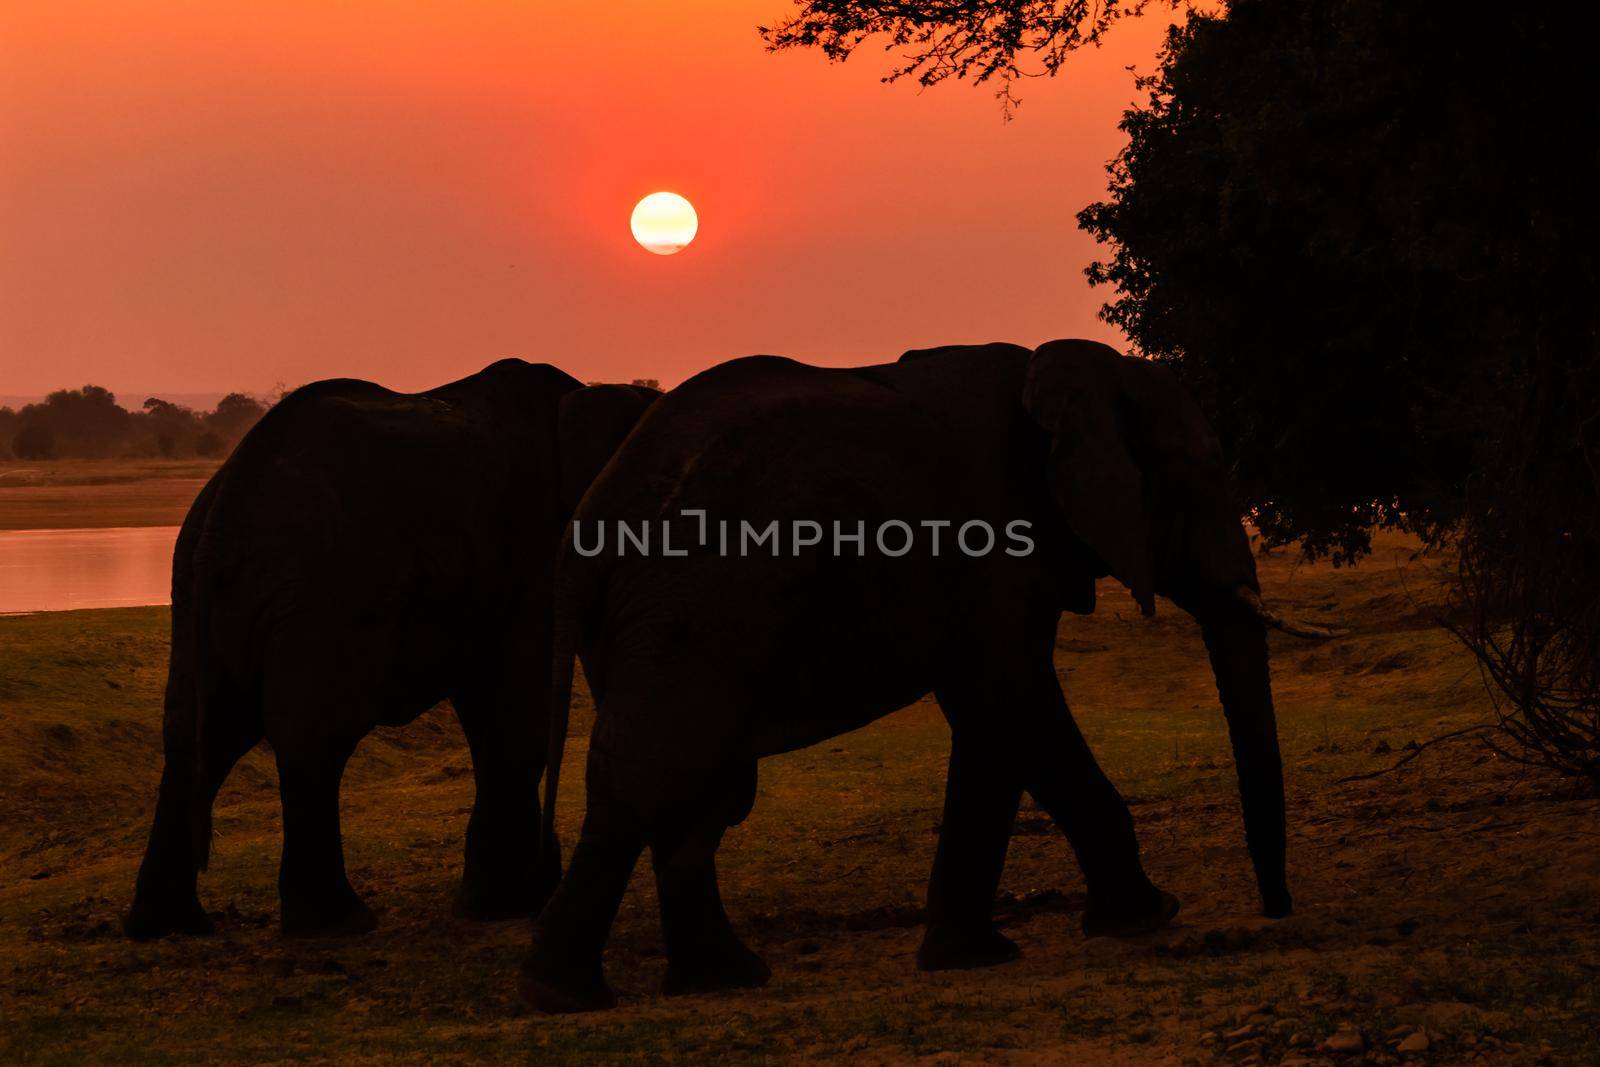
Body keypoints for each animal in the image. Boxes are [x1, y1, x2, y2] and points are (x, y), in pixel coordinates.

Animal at [118, 363, 656, 940]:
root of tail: (226, 503)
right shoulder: (531, 552)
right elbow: (514, 715)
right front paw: (508, 905)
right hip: (326, 591)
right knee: (313, 738)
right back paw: (337, 923)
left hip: (204, 591)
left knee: (196, 736)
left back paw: (168, 925)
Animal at [518, 340, 1331, 1011]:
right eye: (1204, 478)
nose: (1275, 910)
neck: (1063, 370)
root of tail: (581, 530)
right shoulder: (998, 540)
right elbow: (1004, 705)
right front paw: (977, 957)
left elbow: (1028, 719)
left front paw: (1143, 916)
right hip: (693, 606)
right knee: (657, 772)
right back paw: (573, 993)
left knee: (692, 781)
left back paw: (714, 979)